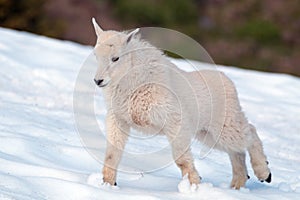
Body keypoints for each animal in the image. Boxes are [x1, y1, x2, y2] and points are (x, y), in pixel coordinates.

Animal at [91, 18, 272, 189]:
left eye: (115, 58)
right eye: (95, 56)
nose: (98, 81)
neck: (132, 81)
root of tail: (228, 82)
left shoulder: (175, 122)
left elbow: (181, 159)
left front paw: (194, 185)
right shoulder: (119, 120)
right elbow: (111, 154)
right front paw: (108, 184)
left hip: (225, 127)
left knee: (250, 133)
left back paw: (264, 173)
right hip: (207, 134)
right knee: (237, 151)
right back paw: (238, 183)